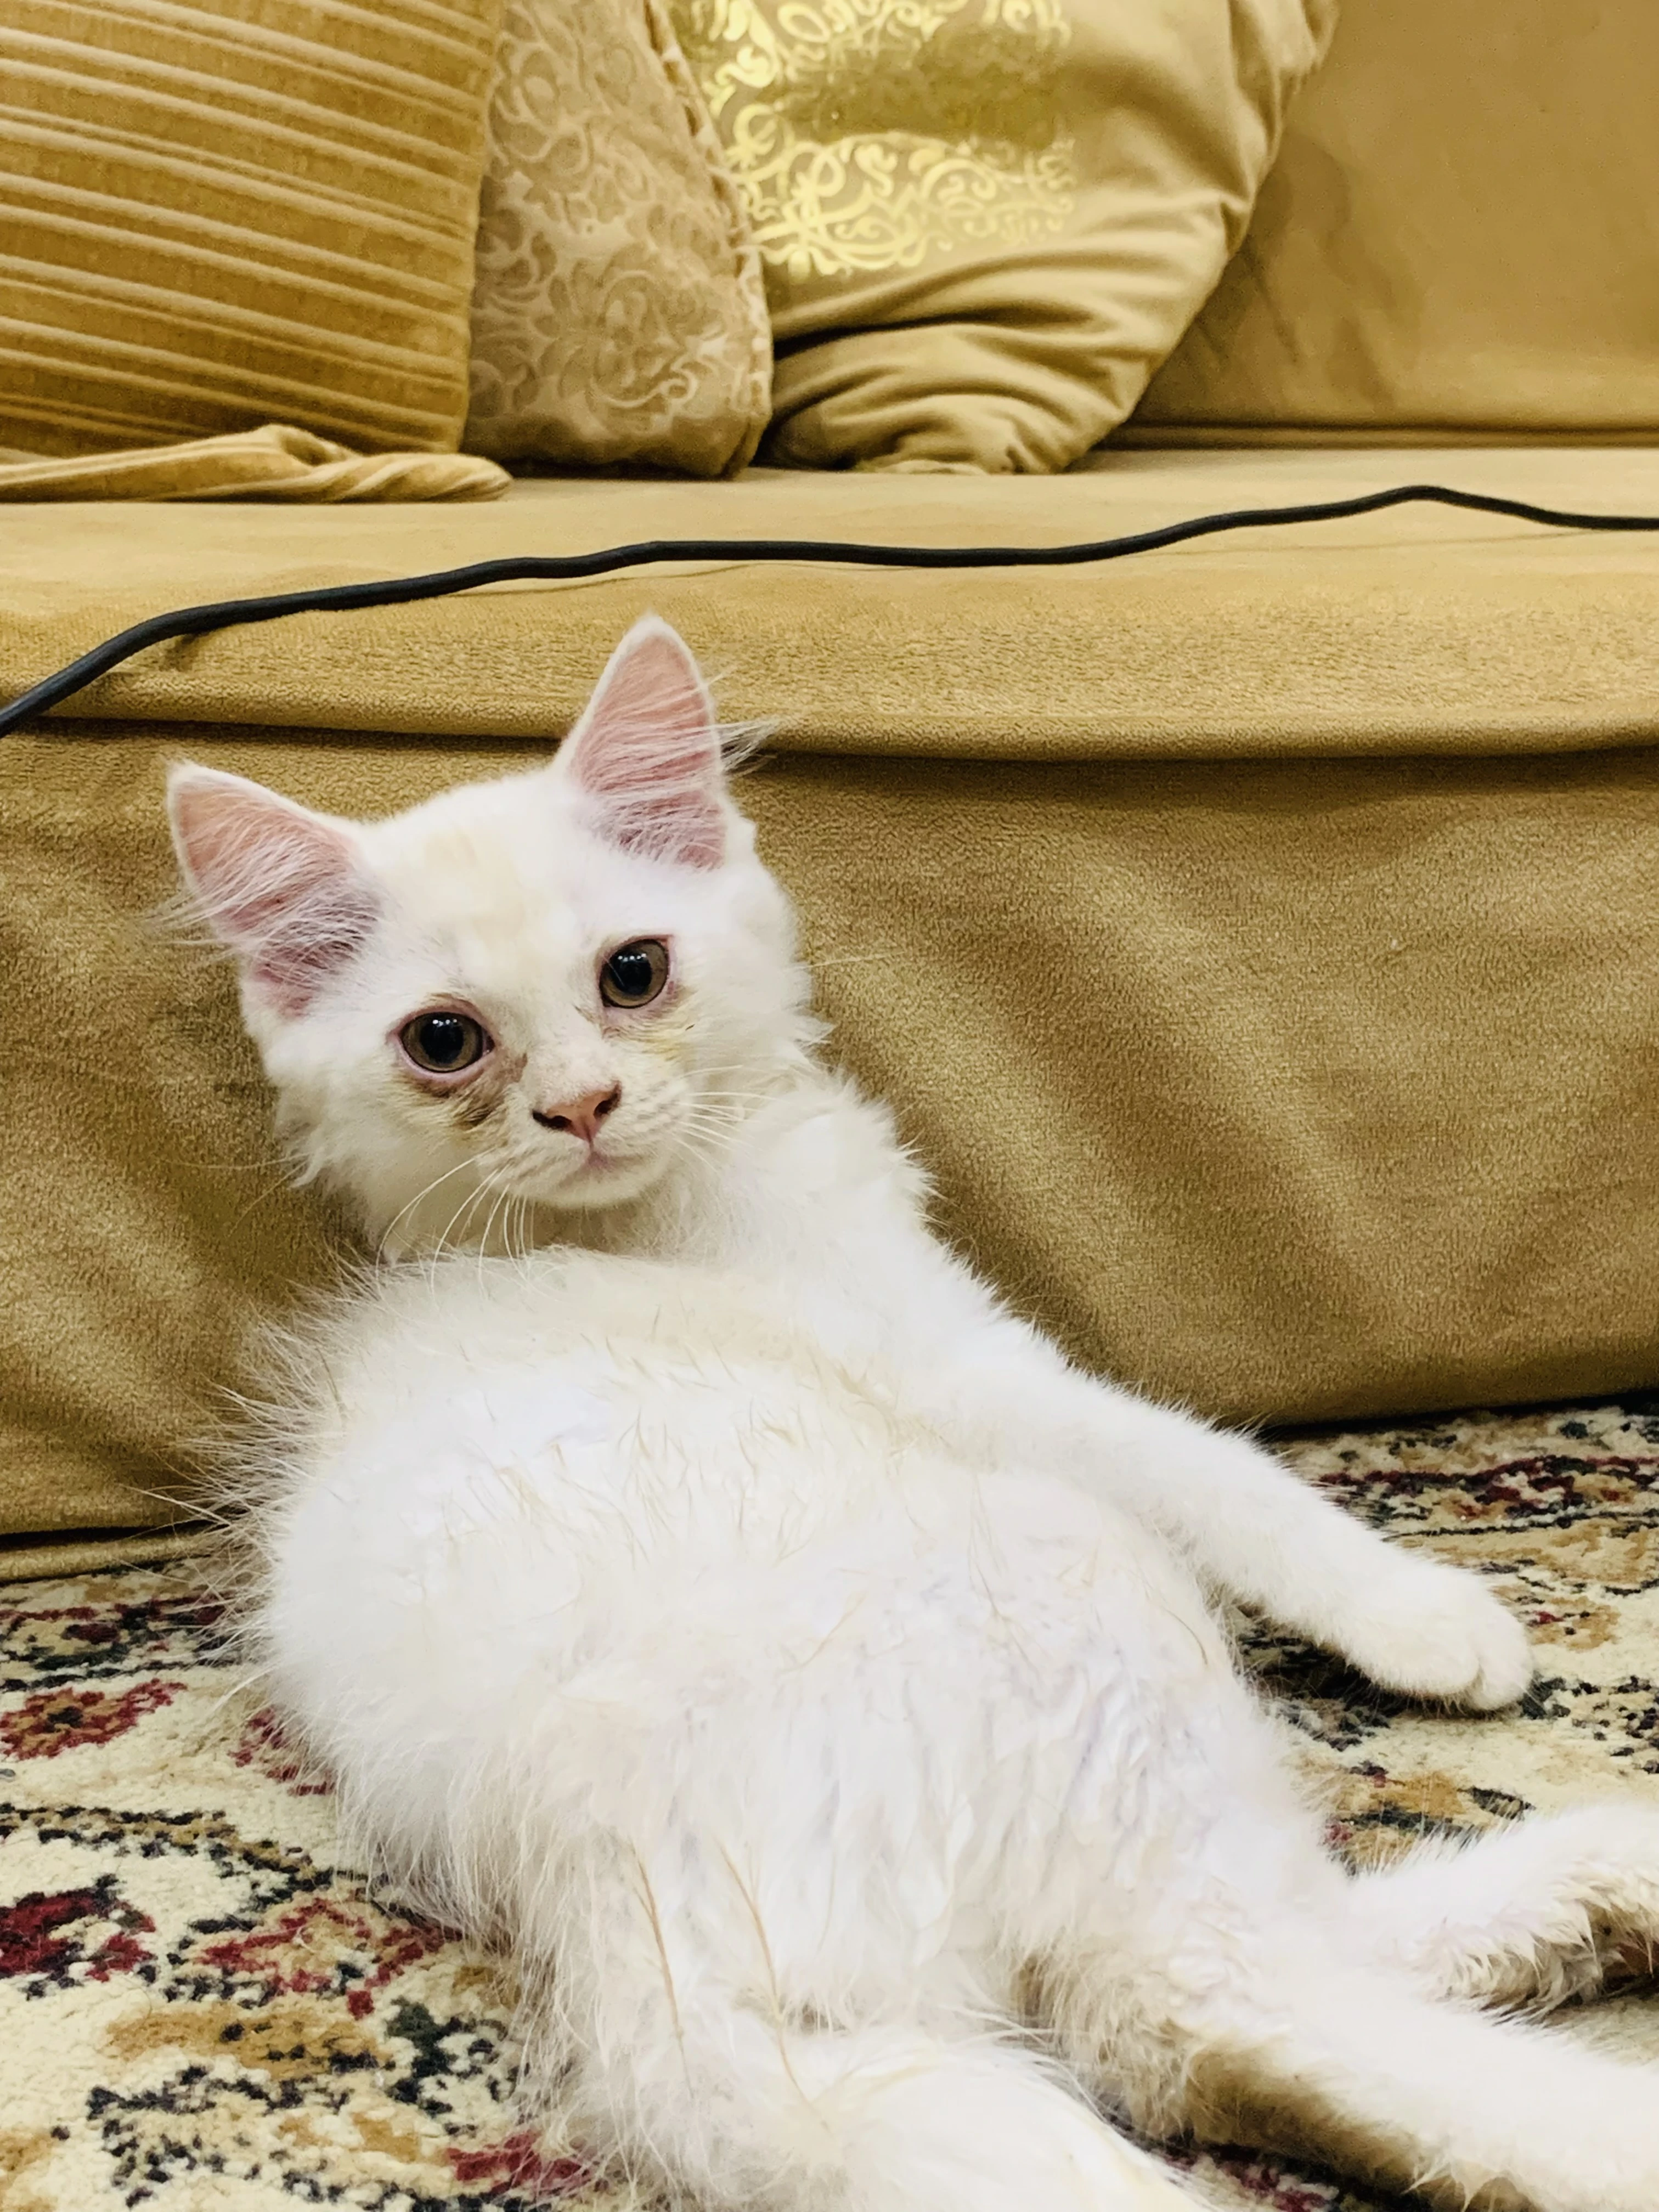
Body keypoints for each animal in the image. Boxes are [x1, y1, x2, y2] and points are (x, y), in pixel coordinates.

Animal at [169, 619, 1659, 2212]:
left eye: (634, 973)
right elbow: (1223, 1470)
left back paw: (1600, 1895)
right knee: (1215, 2004)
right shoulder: (973, 1374)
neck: (637, 1213)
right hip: (1087, 1615)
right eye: (446, 1042)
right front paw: (1433, 1617)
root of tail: (650, 1969)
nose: (580, 1107)